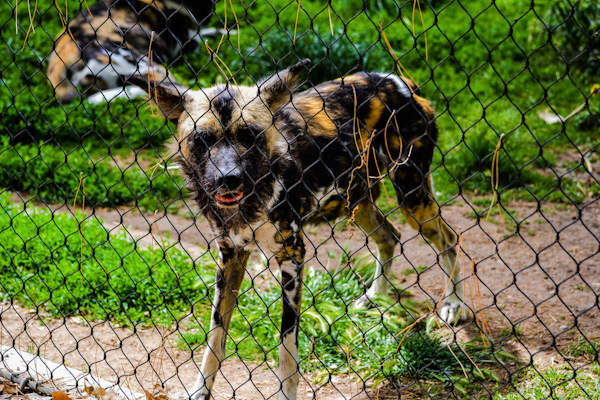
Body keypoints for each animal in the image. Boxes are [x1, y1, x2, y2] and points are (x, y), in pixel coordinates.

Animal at [127, 59, 464, 400]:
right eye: (203, 139)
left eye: (250, 136)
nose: (229, 178)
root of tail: (398, 82)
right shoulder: (230, 257)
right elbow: (215, 340)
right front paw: (200, 390)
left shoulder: (292, 258)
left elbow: (286, 346)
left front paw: (286, 393)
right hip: (358, 201)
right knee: (390, 237)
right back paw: (373, 297)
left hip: (412, 198)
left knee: (449, 238)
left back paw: (452, 305)